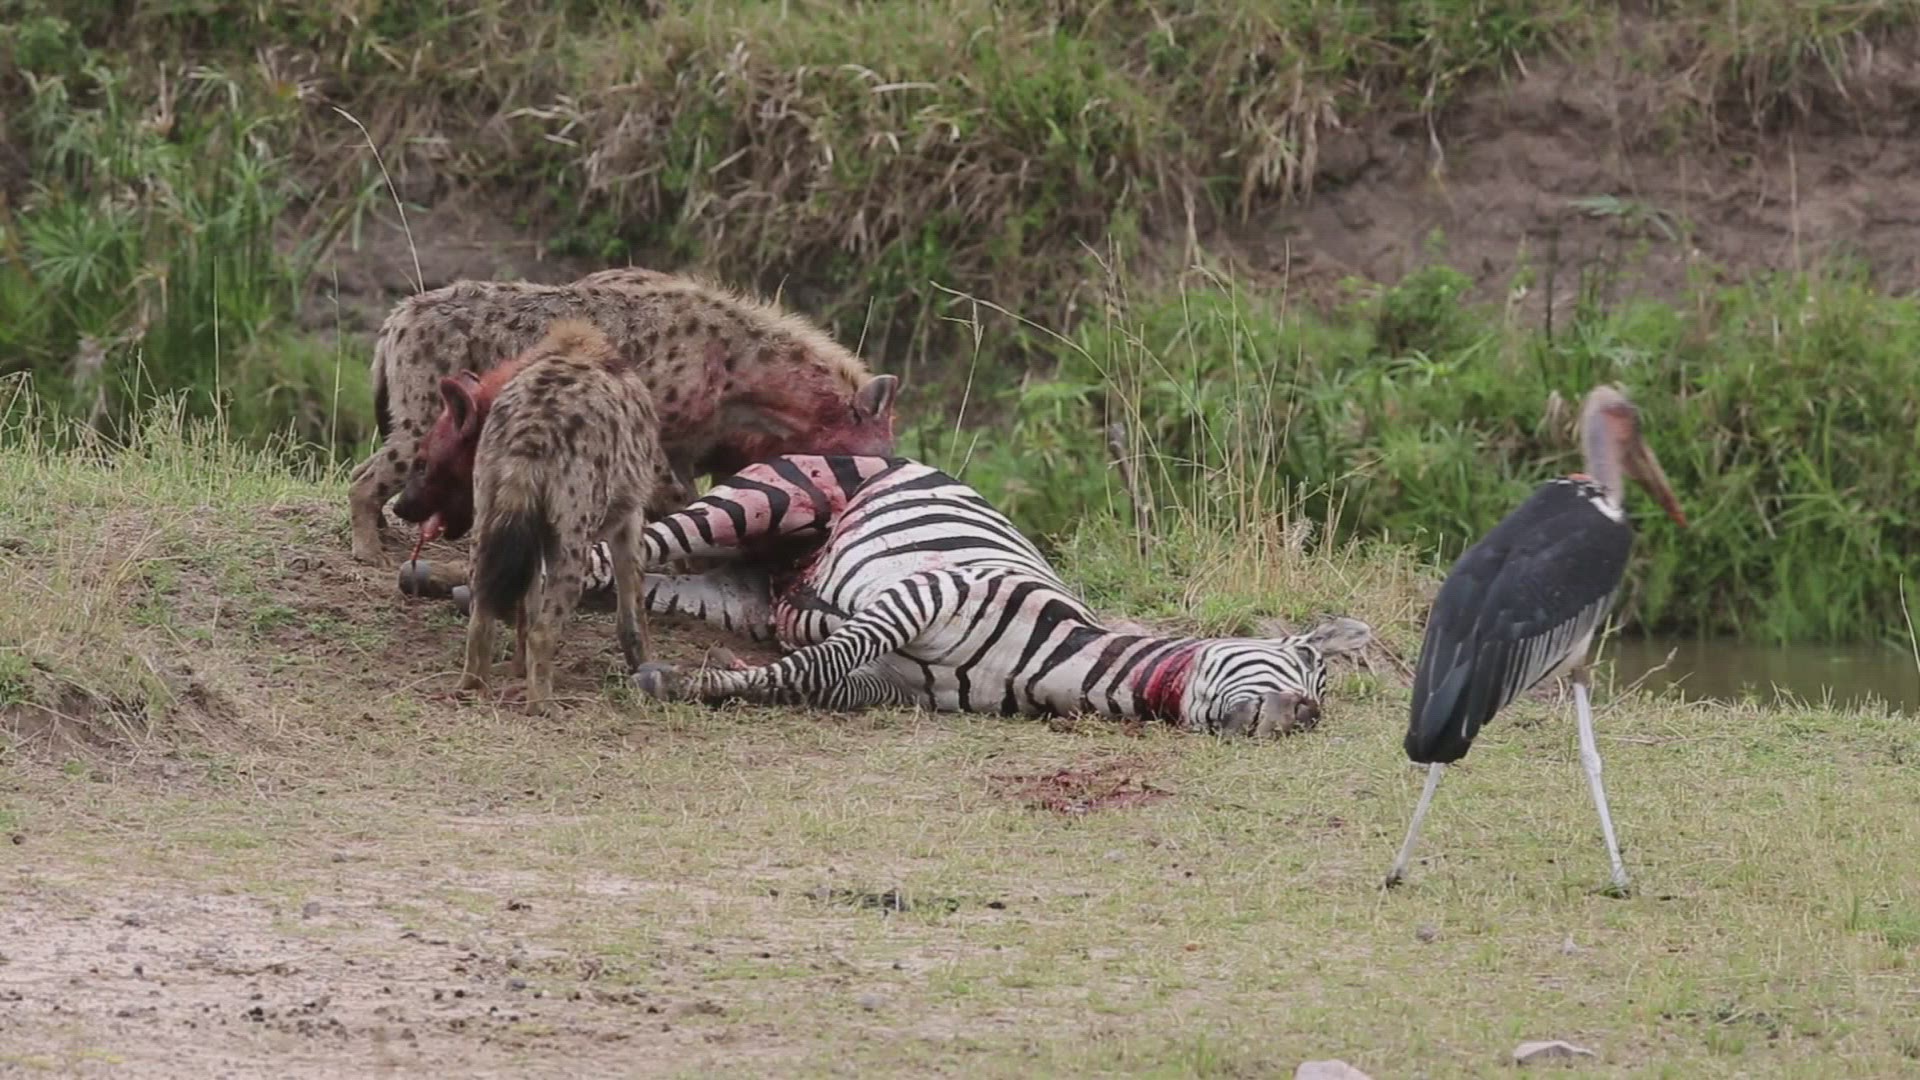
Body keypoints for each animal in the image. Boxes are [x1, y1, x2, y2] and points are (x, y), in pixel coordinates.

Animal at [602, 454, 1373, 736]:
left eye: (1320, 694)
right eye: (1309, 667)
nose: (1305, 716)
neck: (1056, 664)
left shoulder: (892, 688)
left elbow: (813, 677)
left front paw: (705, 680)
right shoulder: (927, 591)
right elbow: (823, 657)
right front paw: (680, 681)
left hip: (733, 592)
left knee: (641, 578)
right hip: (762, 499)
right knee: (632, 544)